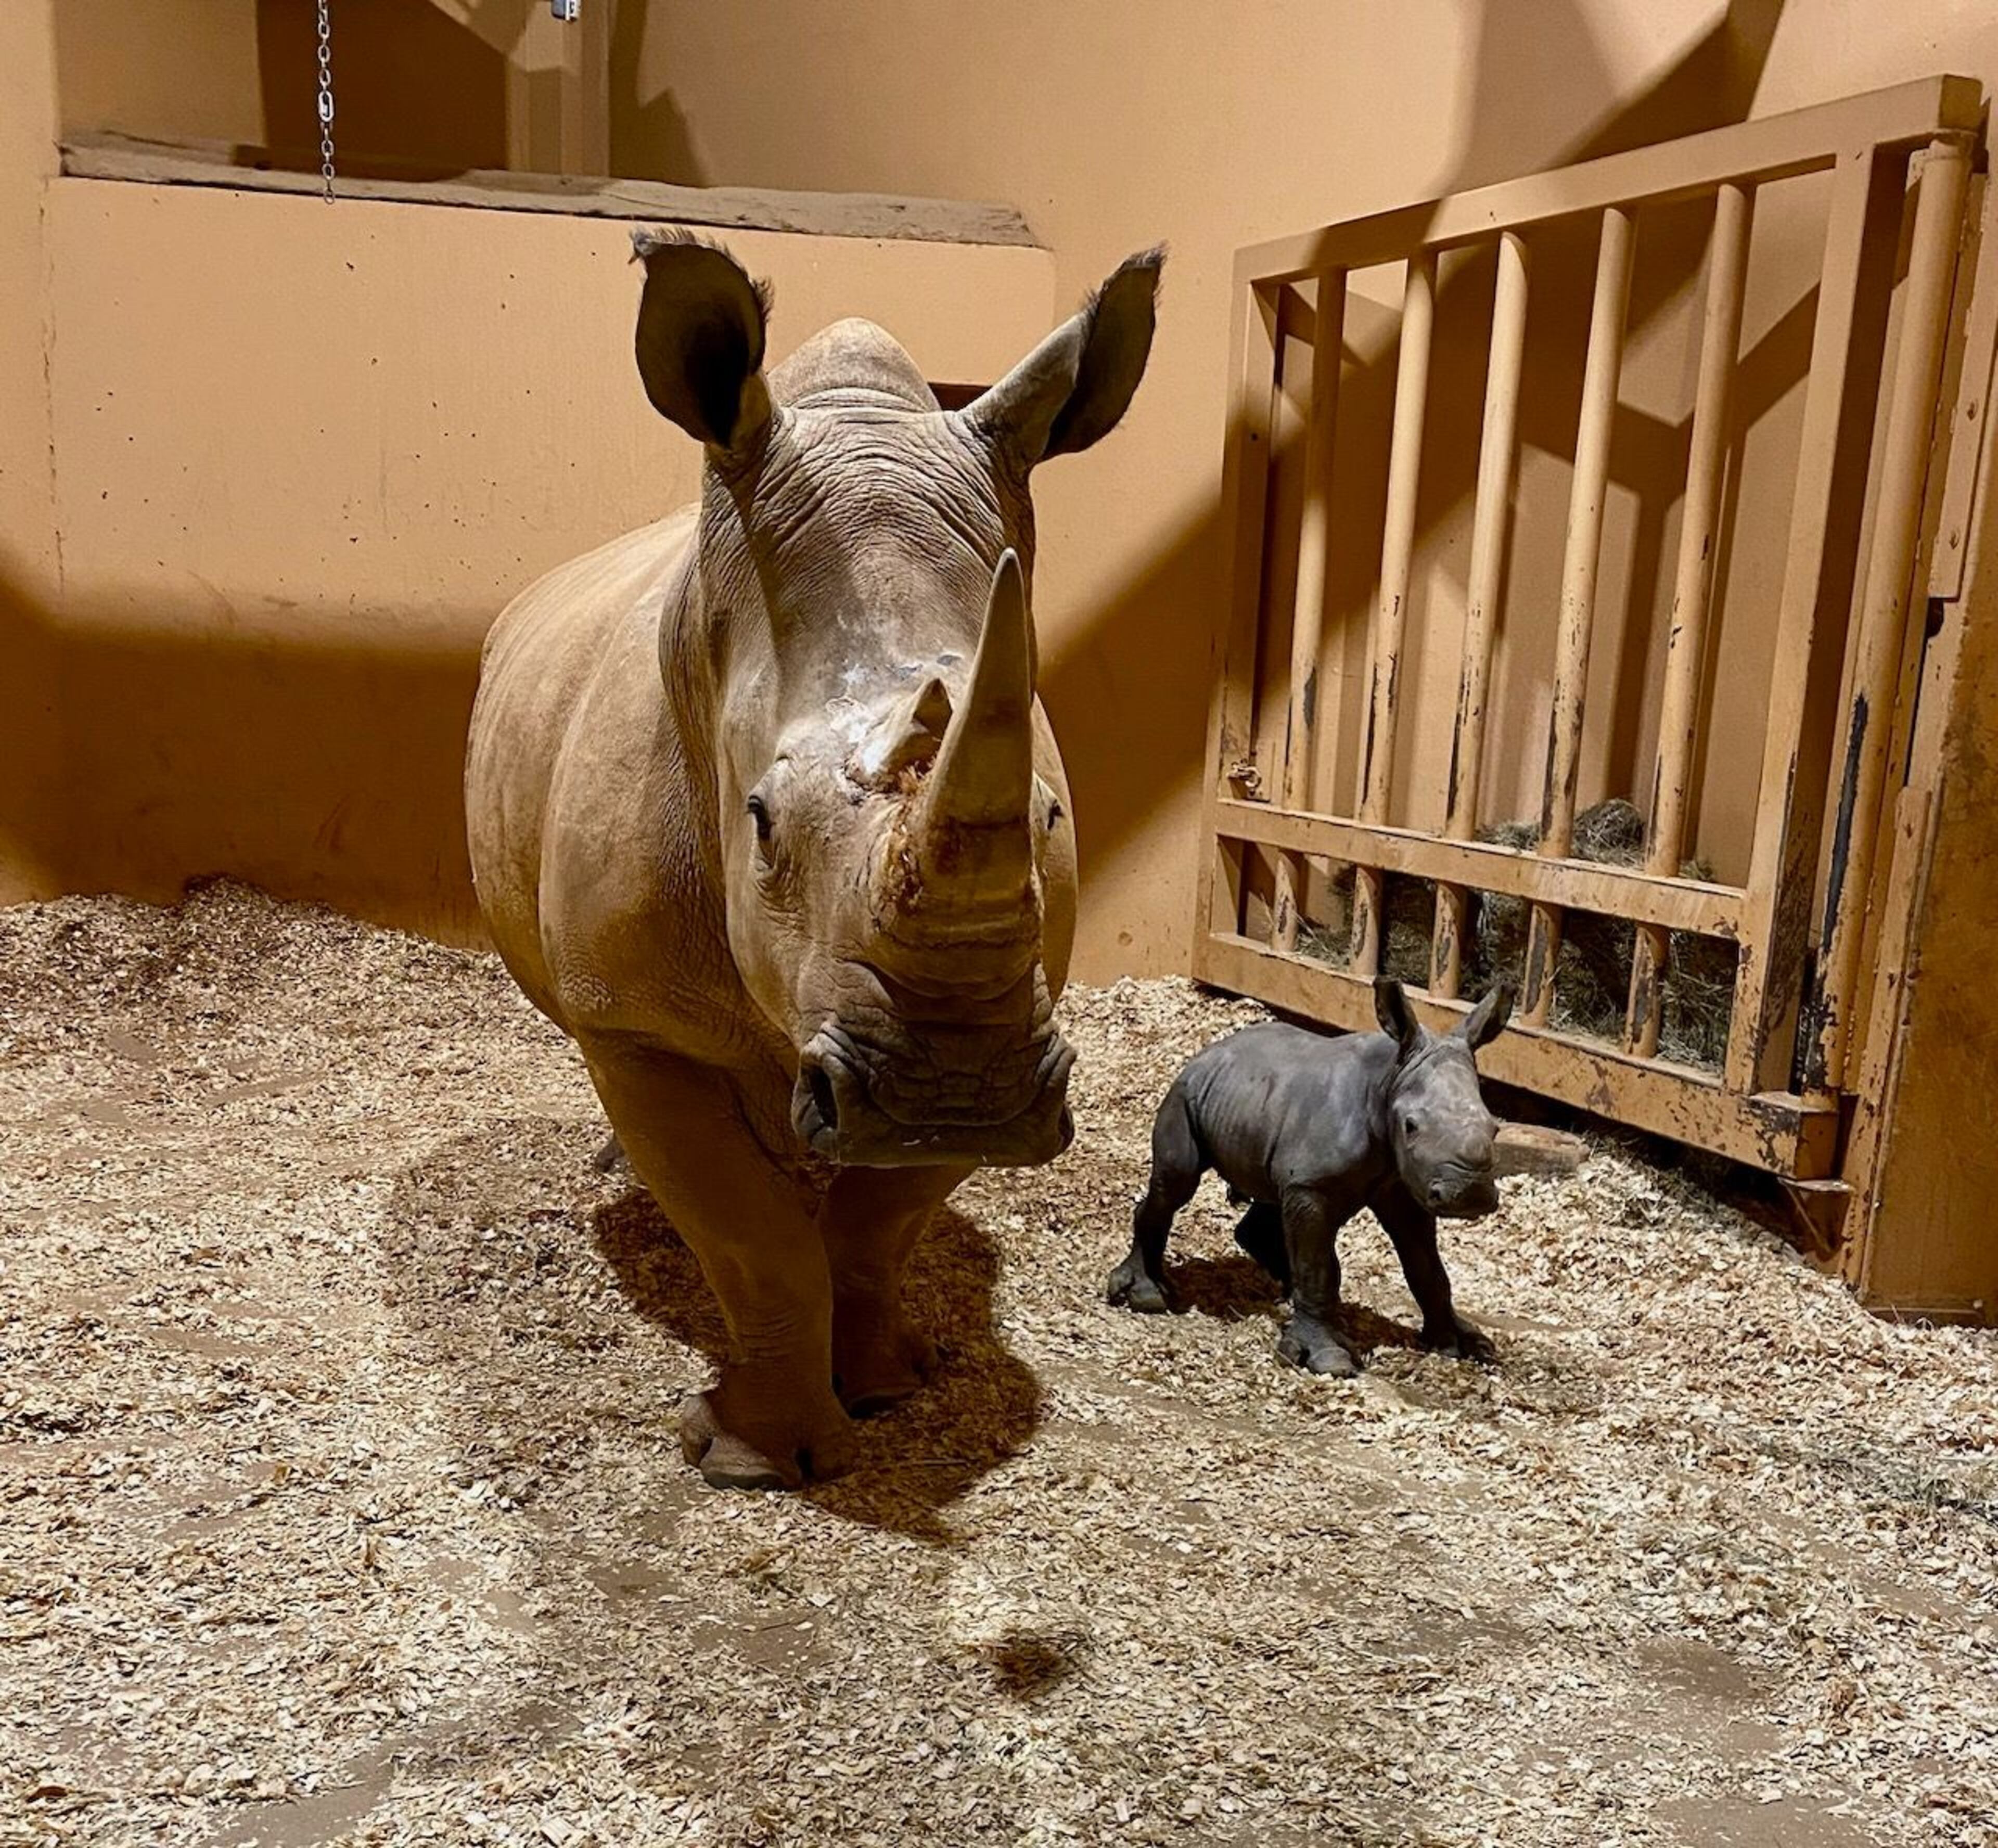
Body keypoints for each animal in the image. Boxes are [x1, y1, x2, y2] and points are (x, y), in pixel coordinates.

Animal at [465, 232, 1161, 1490]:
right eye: (757, 821)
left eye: (1047, 817)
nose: (960, 1095)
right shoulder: (635, 1019)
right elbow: (753, 1235)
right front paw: (758, 1461)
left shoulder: (979, 1013)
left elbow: (879, 1223)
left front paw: (888, 1387)